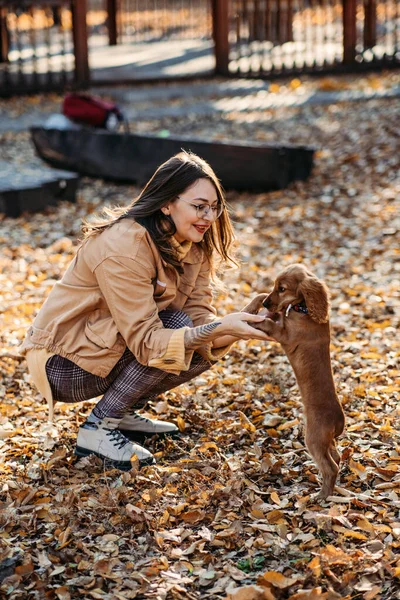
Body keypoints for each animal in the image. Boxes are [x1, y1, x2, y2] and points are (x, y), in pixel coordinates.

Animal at [245, 264, 346, 500]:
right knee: (336, 457)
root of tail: (339, 421)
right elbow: (263, 296)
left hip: (314, 439)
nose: (266, 305)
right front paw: (253, 305)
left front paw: (251, 317)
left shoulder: (283, 333)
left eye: (282, 288)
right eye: (274, 285)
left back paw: (322, 496)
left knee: (332, 467)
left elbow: (266, 322)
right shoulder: (280, 315)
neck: (304, 310)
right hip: (324, 440)